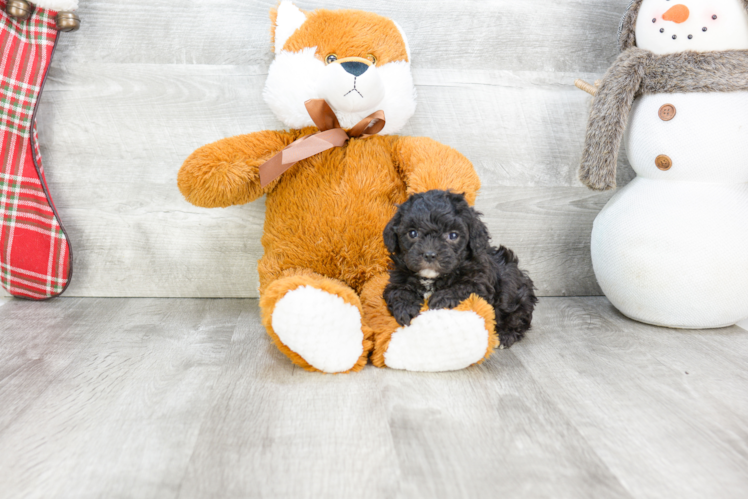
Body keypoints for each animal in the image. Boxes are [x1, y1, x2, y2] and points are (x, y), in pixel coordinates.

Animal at [382, 189, 536, 350]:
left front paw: (441, 298)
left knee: (518, 319)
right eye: (412, 233)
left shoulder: (480, 283)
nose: (430, 254)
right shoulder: (397, 279)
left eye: (453, 235)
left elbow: (463, 287)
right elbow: (398, 291)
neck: (432, 278)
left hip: (518, 297)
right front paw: (406, 308)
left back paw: (505, 336)